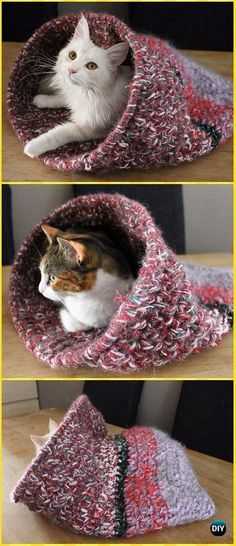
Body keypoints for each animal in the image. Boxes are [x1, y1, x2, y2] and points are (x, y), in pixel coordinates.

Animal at [24, 14, 134, 157]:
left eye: (91, 66)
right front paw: (41, 99)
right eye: (72, 55)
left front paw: (33, 146)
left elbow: (59, 133)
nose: (71, 70)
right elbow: (61, 98)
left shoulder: (91, 128)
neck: (87, 93)